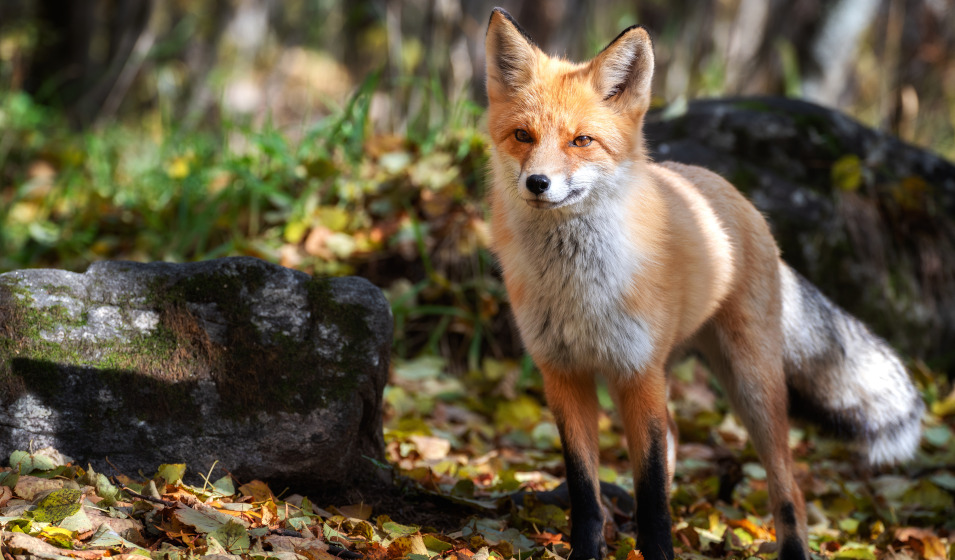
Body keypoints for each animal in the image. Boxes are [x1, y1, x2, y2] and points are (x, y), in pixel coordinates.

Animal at [484, 8, 924, 560]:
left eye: (580, 141)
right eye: (522, 136)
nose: (537, 183)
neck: (577, 290)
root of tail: (735, 196)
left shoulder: (638, 372)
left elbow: (653, 494)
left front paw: (657, 550)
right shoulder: (564, 375)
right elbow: (586, 494)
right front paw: (589, 550)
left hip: (750, 386)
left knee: (788, 485)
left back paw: (793, 546)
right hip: (667, 373)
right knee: (673, 437)